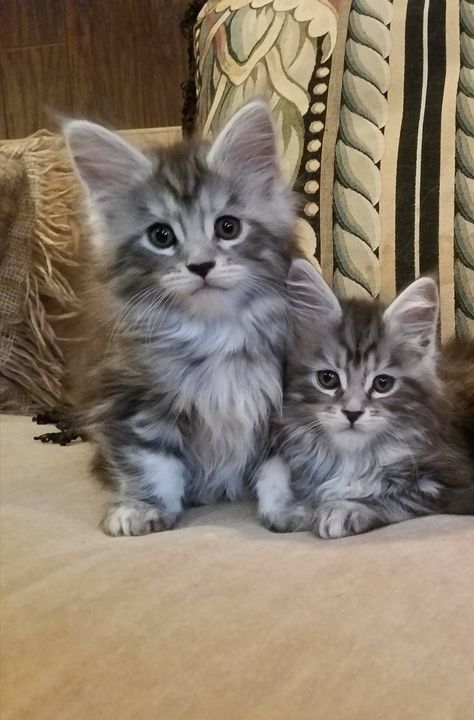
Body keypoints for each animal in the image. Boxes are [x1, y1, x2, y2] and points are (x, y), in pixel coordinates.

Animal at [65, 104, 296, 536]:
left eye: (228, 227)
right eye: (161, 236)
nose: (201, 265)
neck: (214, 331)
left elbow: (286, 464)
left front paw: (291, 506)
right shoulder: (130, 397)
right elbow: (150, 460)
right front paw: (143, 507)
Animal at [258, 262, 472, 536]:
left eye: (382, 383)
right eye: (327, 379)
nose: (352, 412)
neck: (352, 457)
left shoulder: (455, 482)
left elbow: (398, 497)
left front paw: (344, 508)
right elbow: (271, 469)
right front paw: (287, 510)